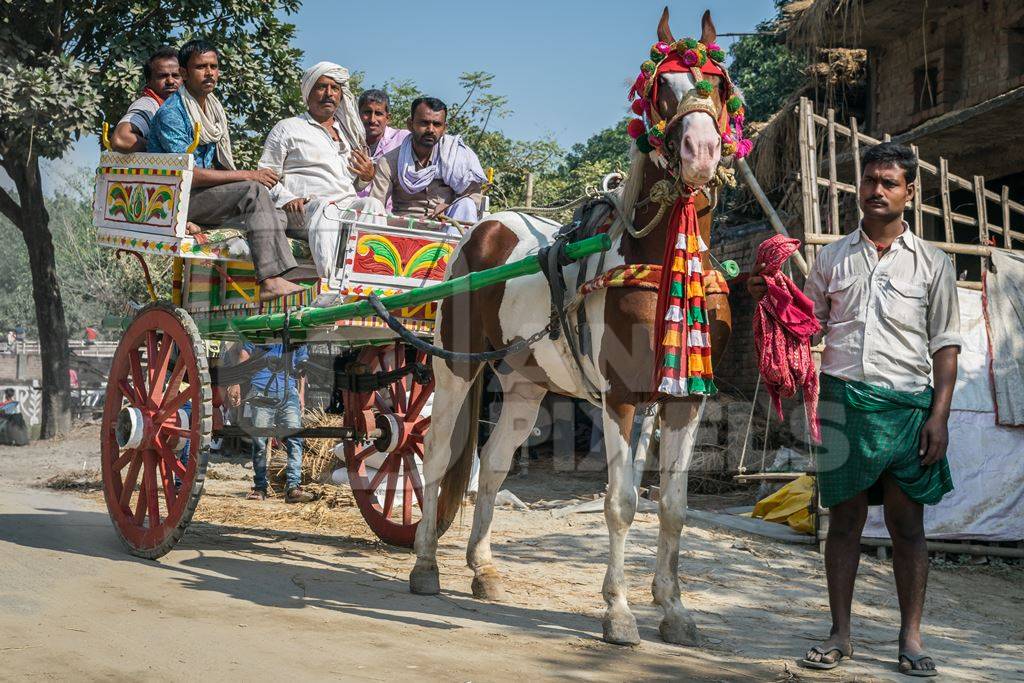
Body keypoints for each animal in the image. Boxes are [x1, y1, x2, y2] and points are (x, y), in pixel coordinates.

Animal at [409, 9, 737, 647]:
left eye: (717, 83)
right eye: (660, 89)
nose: (702, 151)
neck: (654, 258)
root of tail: (481, 230)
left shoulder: (686, 399)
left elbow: (673, 506)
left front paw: (674, 609)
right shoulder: (621, 397)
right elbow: (621, 502)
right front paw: (619, 612)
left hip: (524, 387)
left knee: (494, 465)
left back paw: (483, 568)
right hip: (454, 367)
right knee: (435, 460)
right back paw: (426, 566)